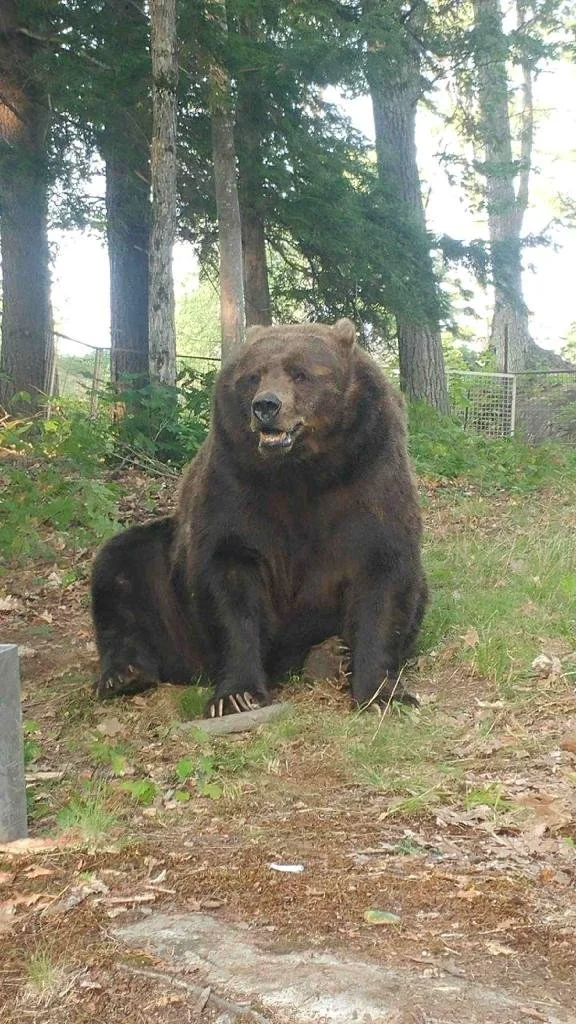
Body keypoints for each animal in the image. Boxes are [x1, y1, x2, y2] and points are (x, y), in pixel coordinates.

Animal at [91, 318, 427, 715]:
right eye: (253, 375)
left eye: (300, 373)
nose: (266, 406)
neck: (303, 472)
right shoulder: (238, 485)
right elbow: (230, 582)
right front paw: (236, 695)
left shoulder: (368, 475)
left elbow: (383, 576)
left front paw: (382, 693)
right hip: (166, 588)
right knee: (120, 567)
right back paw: (124, 674)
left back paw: (332, 654)